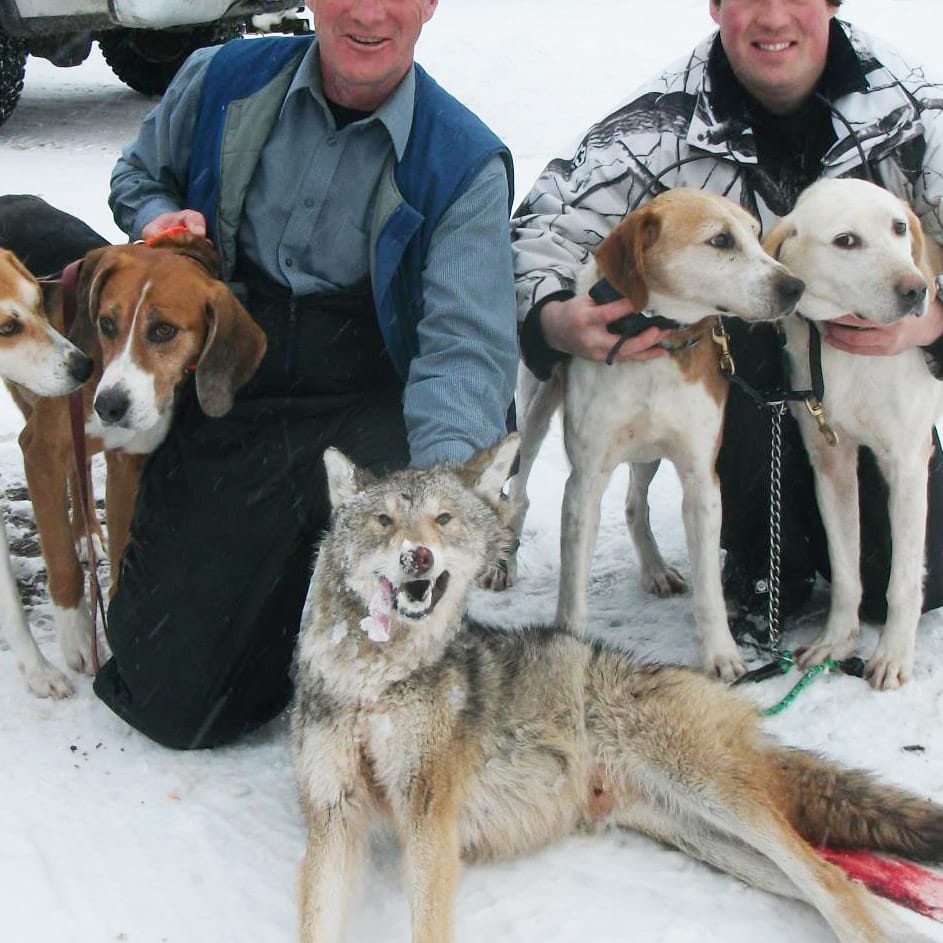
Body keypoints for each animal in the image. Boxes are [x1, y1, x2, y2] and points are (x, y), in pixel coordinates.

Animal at [5, 218, 268, 696]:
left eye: (164, 330)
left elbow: (121, 557)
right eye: (106, 323)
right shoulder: (41, 452)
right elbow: (61, 561)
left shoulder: (129, 462)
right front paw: (78, 639)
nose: (108, 406)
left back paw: (88, 532)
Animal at [494, 190, 804, 680]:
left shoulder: (701, 479)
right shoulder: (584, 482)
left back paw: (655, 569)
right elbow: (572, 588)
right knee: (519, 495)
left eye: (757, 233)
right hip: (533, 419)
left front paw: (721, 653)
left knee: (634, 504)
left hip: (648, 453)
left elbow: (709, 588)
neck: (654, 345)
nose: (795, 287)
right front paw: (570, 648)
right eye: (720, 240)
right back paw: (505, 562)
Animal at [768, 179, 943, 692]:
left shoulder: (907, 464)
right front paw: (837, 640)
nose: (918, 290)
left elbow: (902, 581)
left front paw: (893, 654)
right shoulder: (831, 465)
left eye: (899, 227)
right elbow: (846, 571)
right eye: (846, 241)